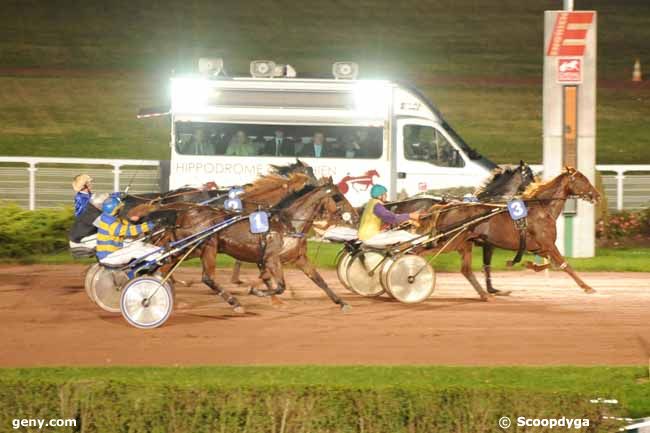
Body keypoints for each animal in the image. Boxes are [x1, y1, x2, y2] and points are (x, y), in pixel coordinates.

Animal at [418, 167, 600, 298]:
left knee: (466, 270)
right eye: (583, 180)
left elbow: (551, 264)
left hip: (465, 244)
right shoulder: (548, 244)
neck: (542, 208)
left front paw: (528, 264)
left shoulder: (540, 247)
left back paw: (485, 295)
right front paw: (587, 287)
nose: (597, 195)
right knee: (419, 251)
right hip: (450, 242)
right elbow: (565, 265)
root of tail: (447, 207)